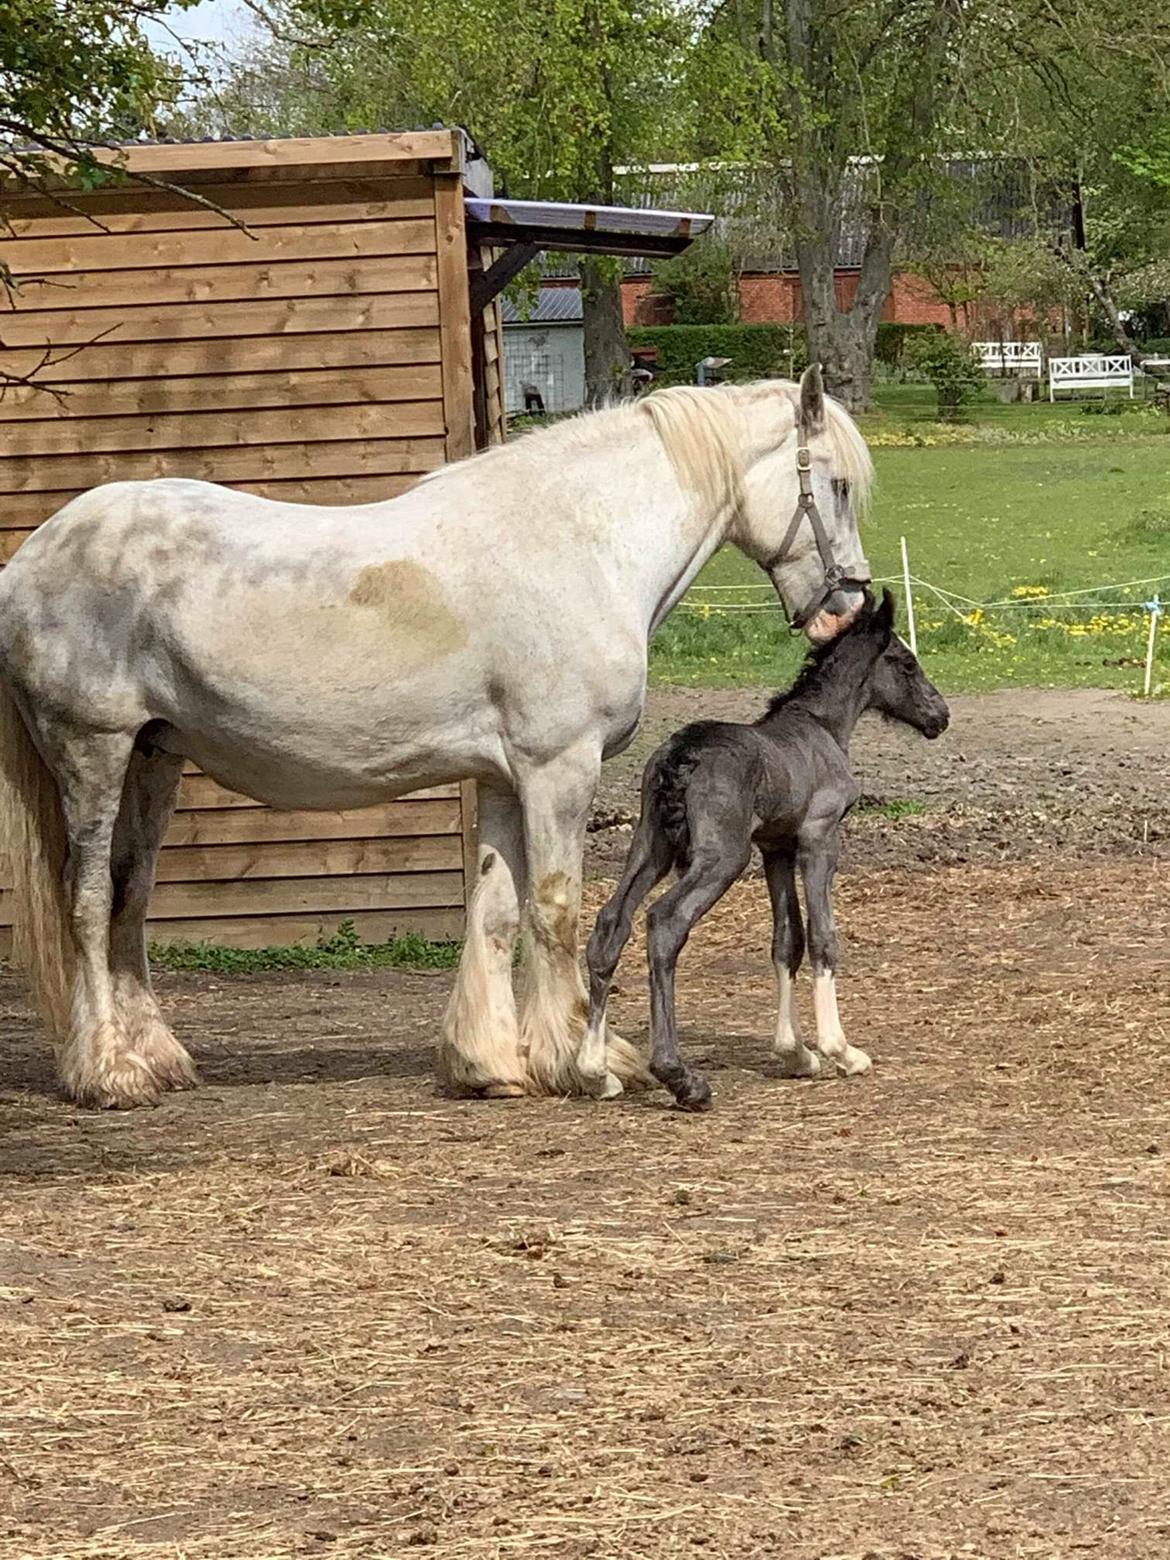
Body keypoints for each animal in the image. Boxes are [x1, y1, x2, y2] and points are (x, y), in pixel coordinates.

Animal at [0, 366, 873, 1110]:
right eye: (835, 485)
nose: (847, 608)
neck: (580, 542)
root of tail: (31, 559)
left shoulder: (502, 778)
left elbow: (494, 913)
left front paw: (492, 1066)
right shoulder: (559, 768)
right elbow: (555, 912)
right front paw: (580, 1063)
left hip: (155, 758)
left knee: (132, 895)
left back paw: (158, 1058)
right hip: (95, 752)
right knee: (87, 901)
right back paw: (109, 1074)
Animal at [583, 586, 948, 1110]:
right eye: (906, 662)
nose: (941, 715)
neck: (822, 727)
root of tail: (681, 757)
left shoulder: (775, 847)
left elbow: (786, 940)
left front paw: (795, 1053)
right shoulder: (819, 837)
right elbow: (821, 936)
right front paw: (840, 1051)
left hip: (652, 844)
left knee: (612, 922)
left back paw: (595, 1072)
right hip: (721, 857)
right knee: (665, 923)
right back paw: (681, 1076)